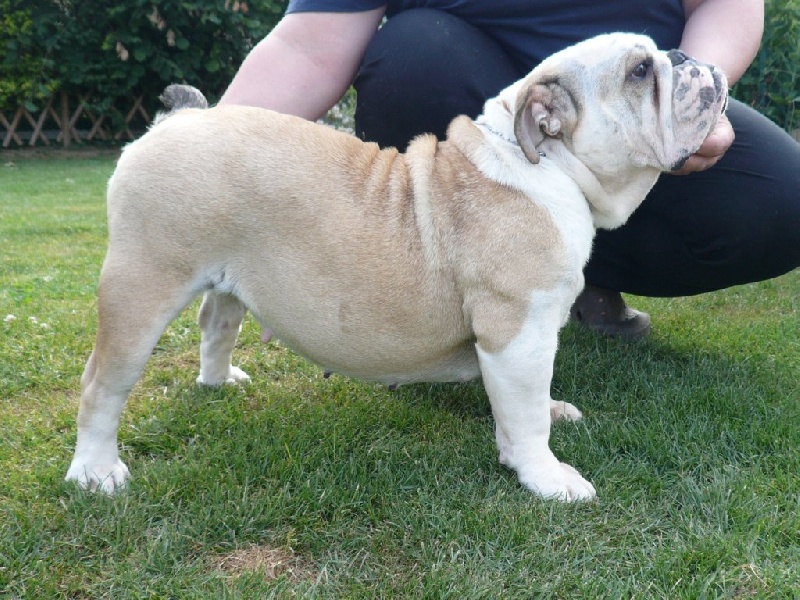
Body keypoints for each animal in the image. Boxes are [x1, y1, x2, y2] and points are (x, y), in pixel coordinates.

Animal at [65, 33, 727, 501]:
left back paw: (218, 380)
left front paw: (550, 413)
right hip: (142, 286)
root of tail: (177, 120)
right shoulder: (517, 331)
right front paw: (545, 475)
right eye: (640, 72)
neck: (547, 163)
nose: (683, 54)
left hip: (224, 276)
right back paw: (96, 471)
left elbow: (525, 402)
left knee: (215, 321)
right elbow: (524, 416)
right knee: (103, 384)